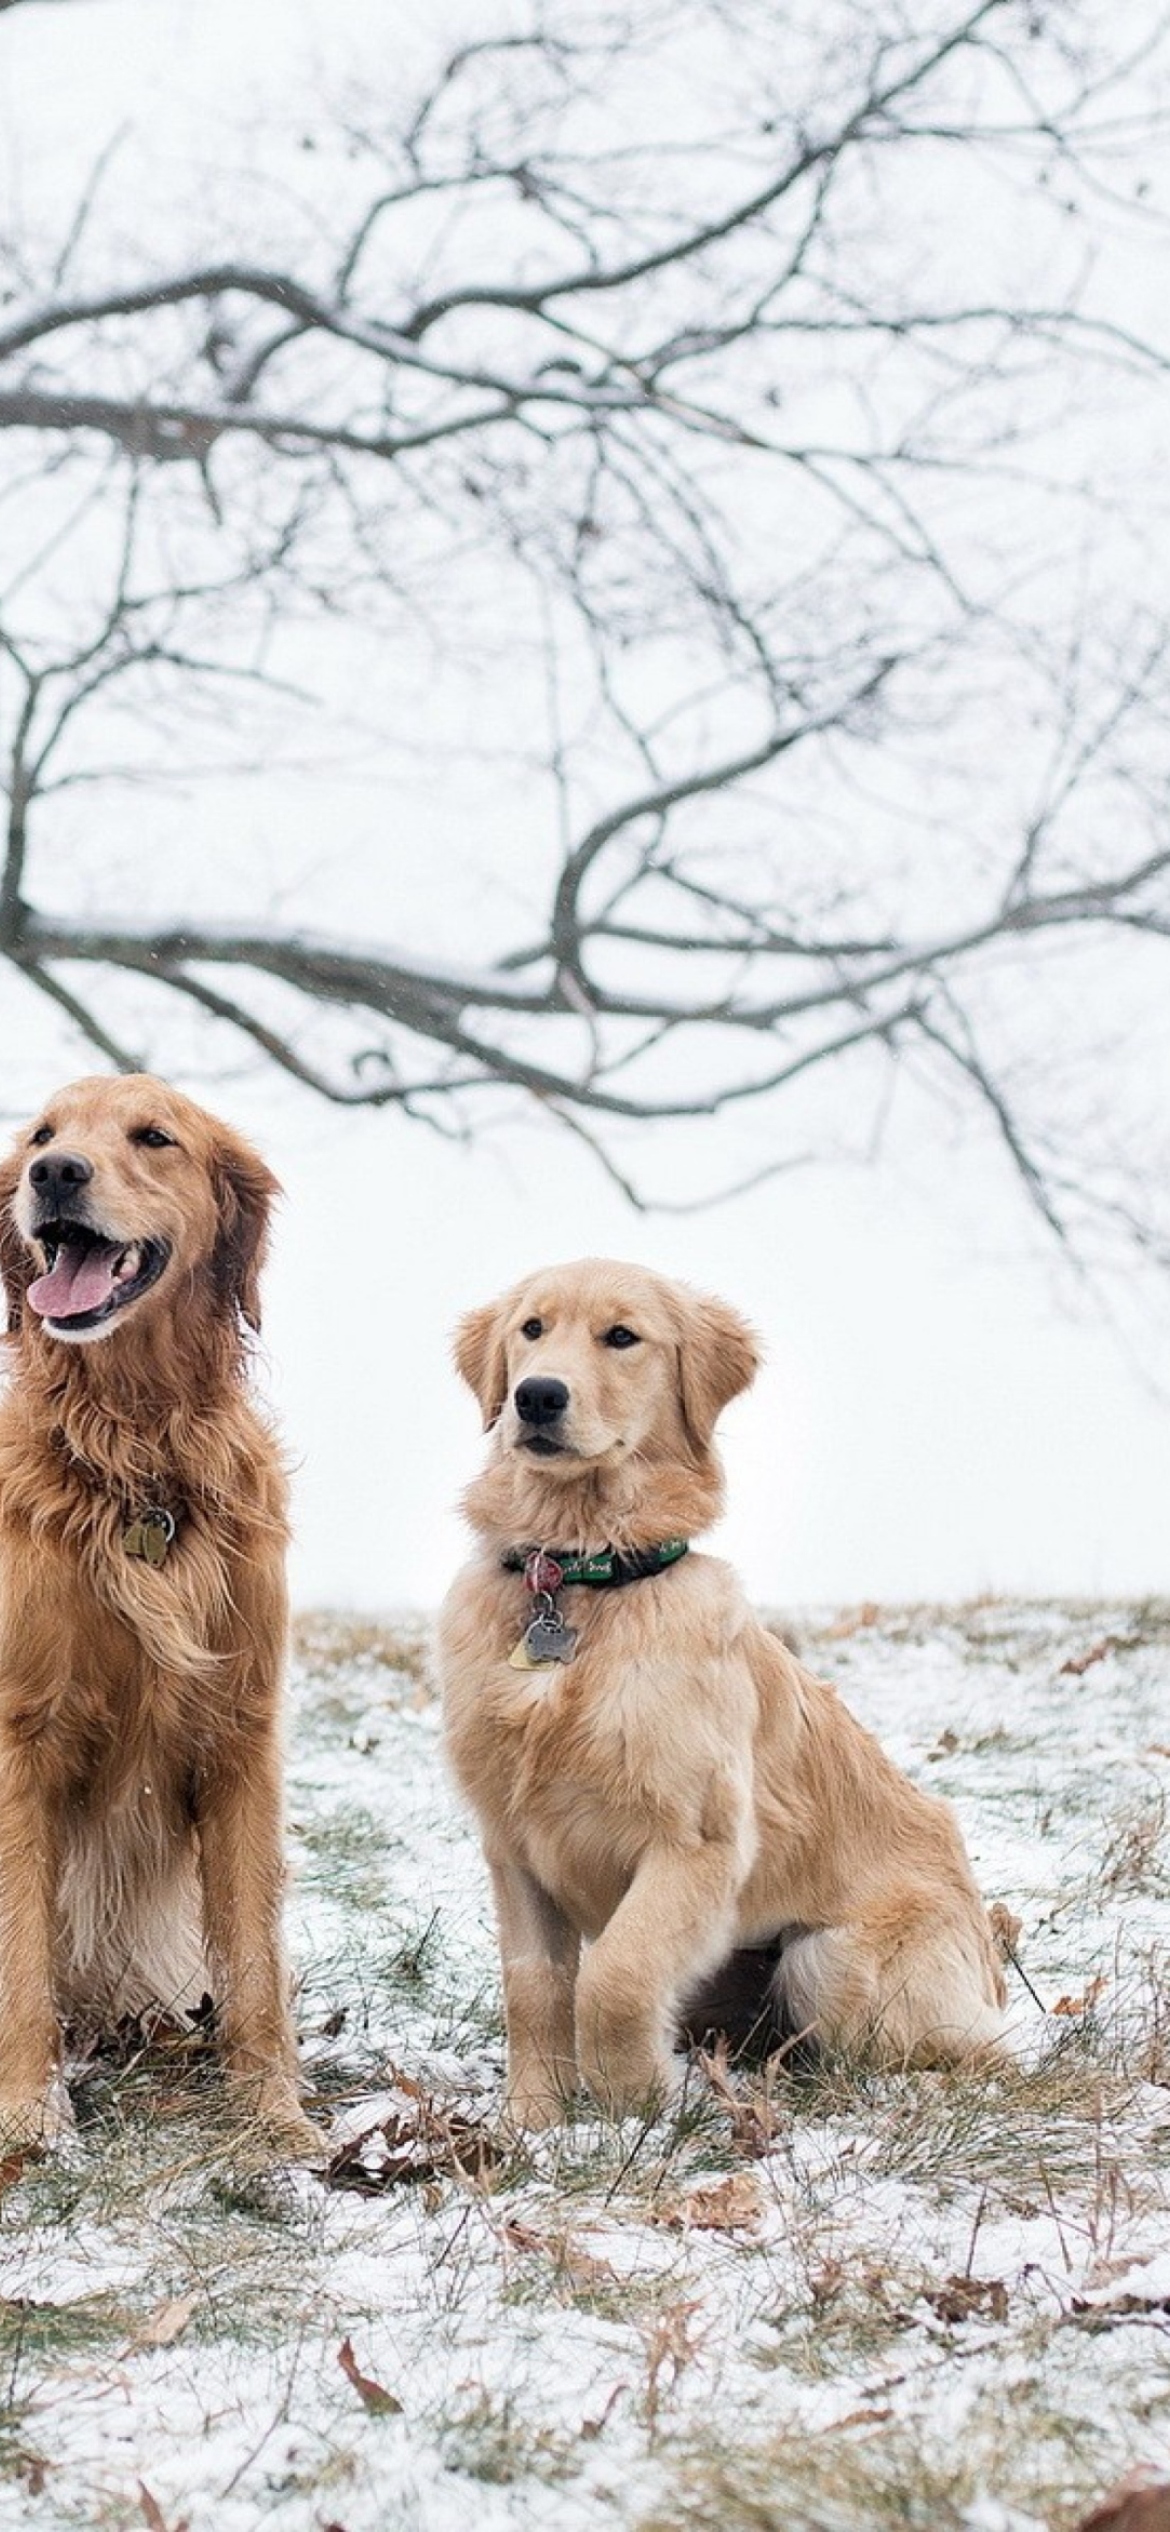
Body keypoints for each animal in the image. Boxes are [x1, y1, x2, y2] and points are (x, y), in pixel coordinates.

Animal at [0, 1068, 317, 2157]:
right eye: (42, 1135)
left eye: (154, 1137)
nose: (54, 1174)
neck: (138, 1458)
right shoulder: (20, 1739)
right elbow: (20, 1951)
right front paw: (30, 2116)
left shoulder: (242, 1732)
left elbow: (254, 1959)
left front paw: (276, 2117)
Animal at [435, 1255, 1007, 2126]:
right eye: (532, 1329)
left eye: (622, 1336)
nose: (536, 1395)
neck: (581, 1578)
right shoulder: (513, 1845)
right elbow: (534, 1990)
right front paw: (533, 2121)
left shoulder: (696, 1842)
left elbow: (616, 1977)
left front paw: (635, 2104)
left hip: (828, 1962)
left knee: (968, 2049)